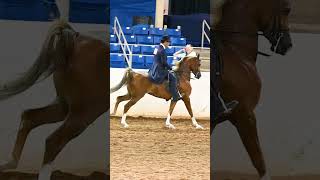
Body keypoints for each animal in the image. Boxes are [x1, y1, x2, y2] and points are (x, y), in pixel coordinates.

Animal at [0, 19, 109, 179]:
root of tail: (76, 39)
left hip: (64, 106)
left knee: (30, 117)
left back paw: (9, 163)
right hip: (86, 112)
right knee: (54, 141)